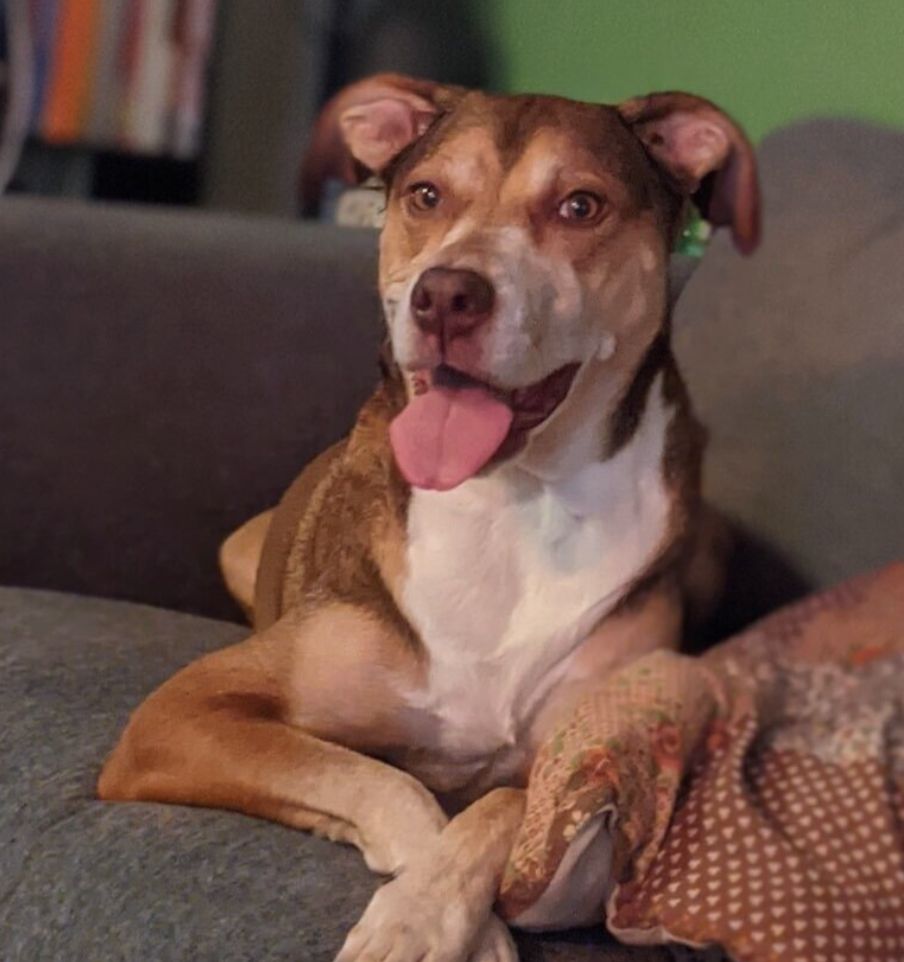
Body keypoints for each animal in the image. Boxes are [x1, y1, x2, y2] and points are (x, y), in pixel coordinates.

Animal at [98, 74, 759, 962]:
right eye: (425, 195)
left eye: (580, 206)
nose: (445, 295)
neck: (511, 499)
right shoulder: (178, 714)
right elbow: (381, 778)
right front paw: (427, 920)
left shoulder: (572, 755)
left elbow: (500, 806)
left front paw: (429, 911)